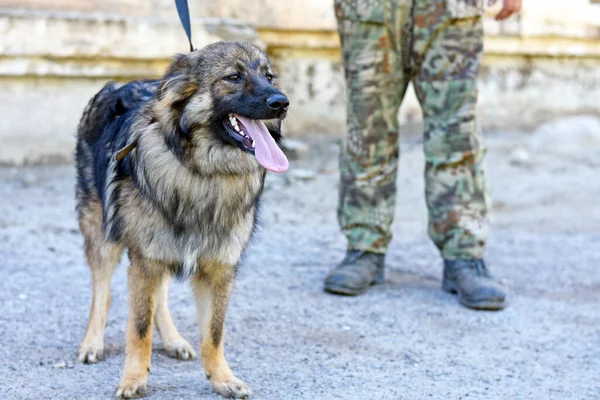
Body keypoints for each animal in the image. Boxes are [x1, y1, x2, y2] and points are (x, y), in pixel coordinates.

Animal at [74, 42, 290, 398]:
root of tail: (116, 85)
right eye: (233, 77)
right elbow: (139, 328)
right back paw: (92, 343)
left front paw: (222, 378)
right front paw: (134, 379)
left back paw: (173, 339)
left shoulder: (218, 267)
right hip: (101, 232)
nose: (282, 103)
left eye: (269, 76)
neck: (203, 172)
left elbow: (213, 332)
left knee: (159, 296)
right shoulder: (146, 258)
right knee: (102, 290)